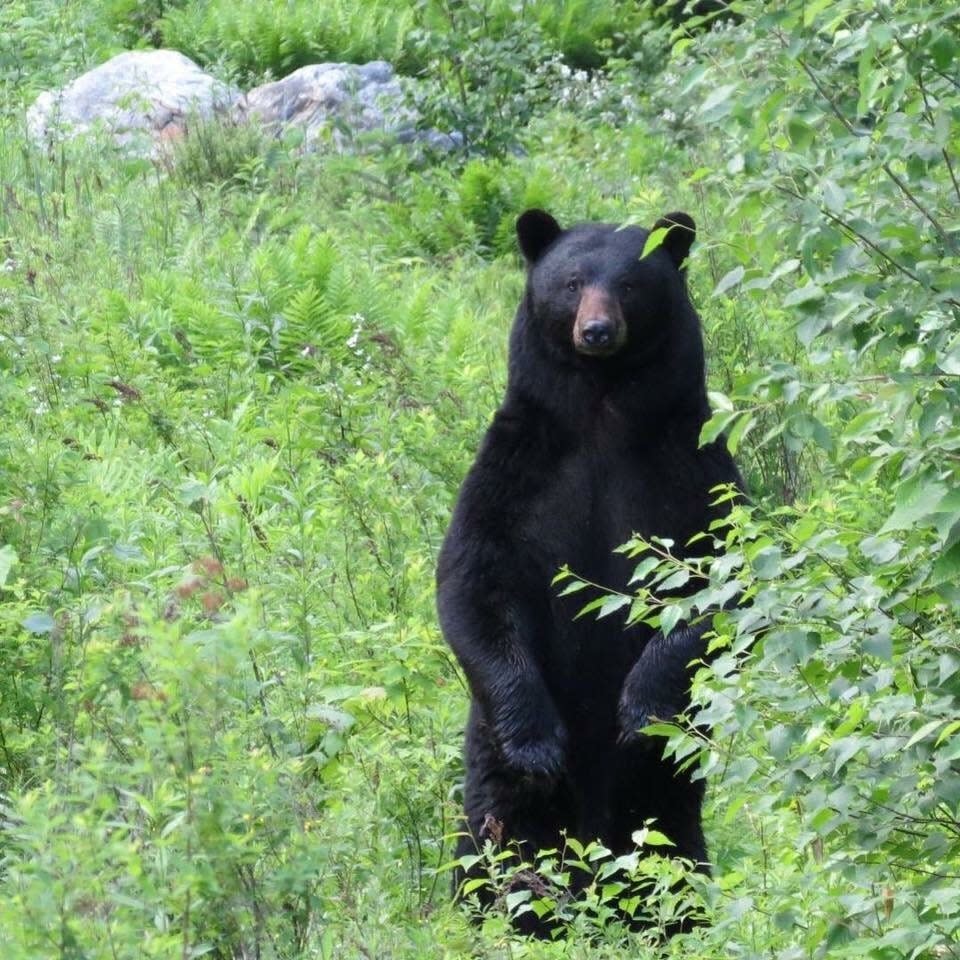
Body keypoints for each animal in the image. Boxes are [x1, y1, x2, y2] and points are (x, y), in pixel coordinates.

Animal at [436, 206, 744, 932]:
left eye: (629, 284)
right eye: (572, 282)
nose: (597, 331)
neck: (602, 414)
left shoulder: (695, 469)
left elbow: (723, 578)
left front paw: (641, 703)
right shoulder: (514, 473)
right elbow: (474, 584)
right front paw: (538, 742)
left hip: (666, 783)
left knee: (666, 837)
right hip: (487, 756)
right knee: (496, 833)